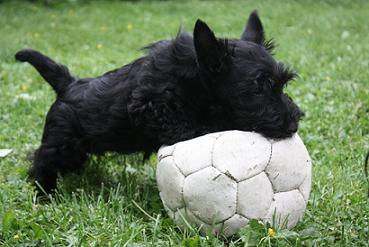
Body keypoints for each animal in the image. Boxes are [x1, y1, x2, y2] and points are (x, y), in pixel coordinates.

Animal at [15, 11, 302, 193]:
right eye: (256, 89)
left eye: (283, 84)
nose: (293, 123)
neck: (193, 78)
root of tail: (68, 84)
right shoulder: (150, 106)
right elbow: (190, 125)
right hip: (62, 144)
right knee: (41, 162)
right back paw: (44, 194)